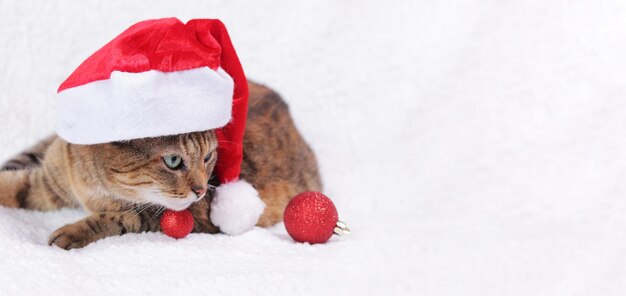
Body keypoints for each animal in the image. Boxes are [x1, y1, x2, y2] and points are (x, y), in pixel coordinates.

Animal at [0, 81, 322, 250]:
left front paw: (74, 231)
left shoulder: (190, 217)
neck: (92, 187)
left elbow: (120, 218)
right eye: (173, 160)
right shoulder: (47, 180)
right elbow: (14, 187)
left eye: (208, 157)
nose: (202, 190)